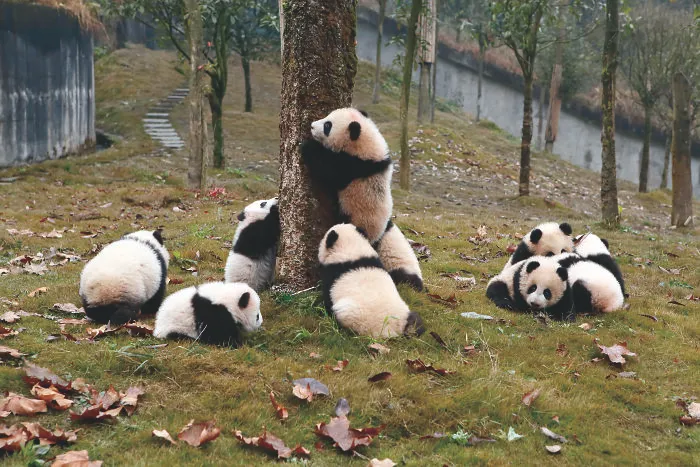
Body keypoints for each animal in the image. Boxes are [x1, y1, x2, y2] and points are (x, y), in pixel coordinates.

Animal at [301, 108, 393, 245]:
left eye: (327, 126)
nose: (312, 126)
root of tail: (374, 238)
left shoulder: (354, 166)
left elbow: (329, 171)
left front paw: (308, 146)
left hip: (355, 218)